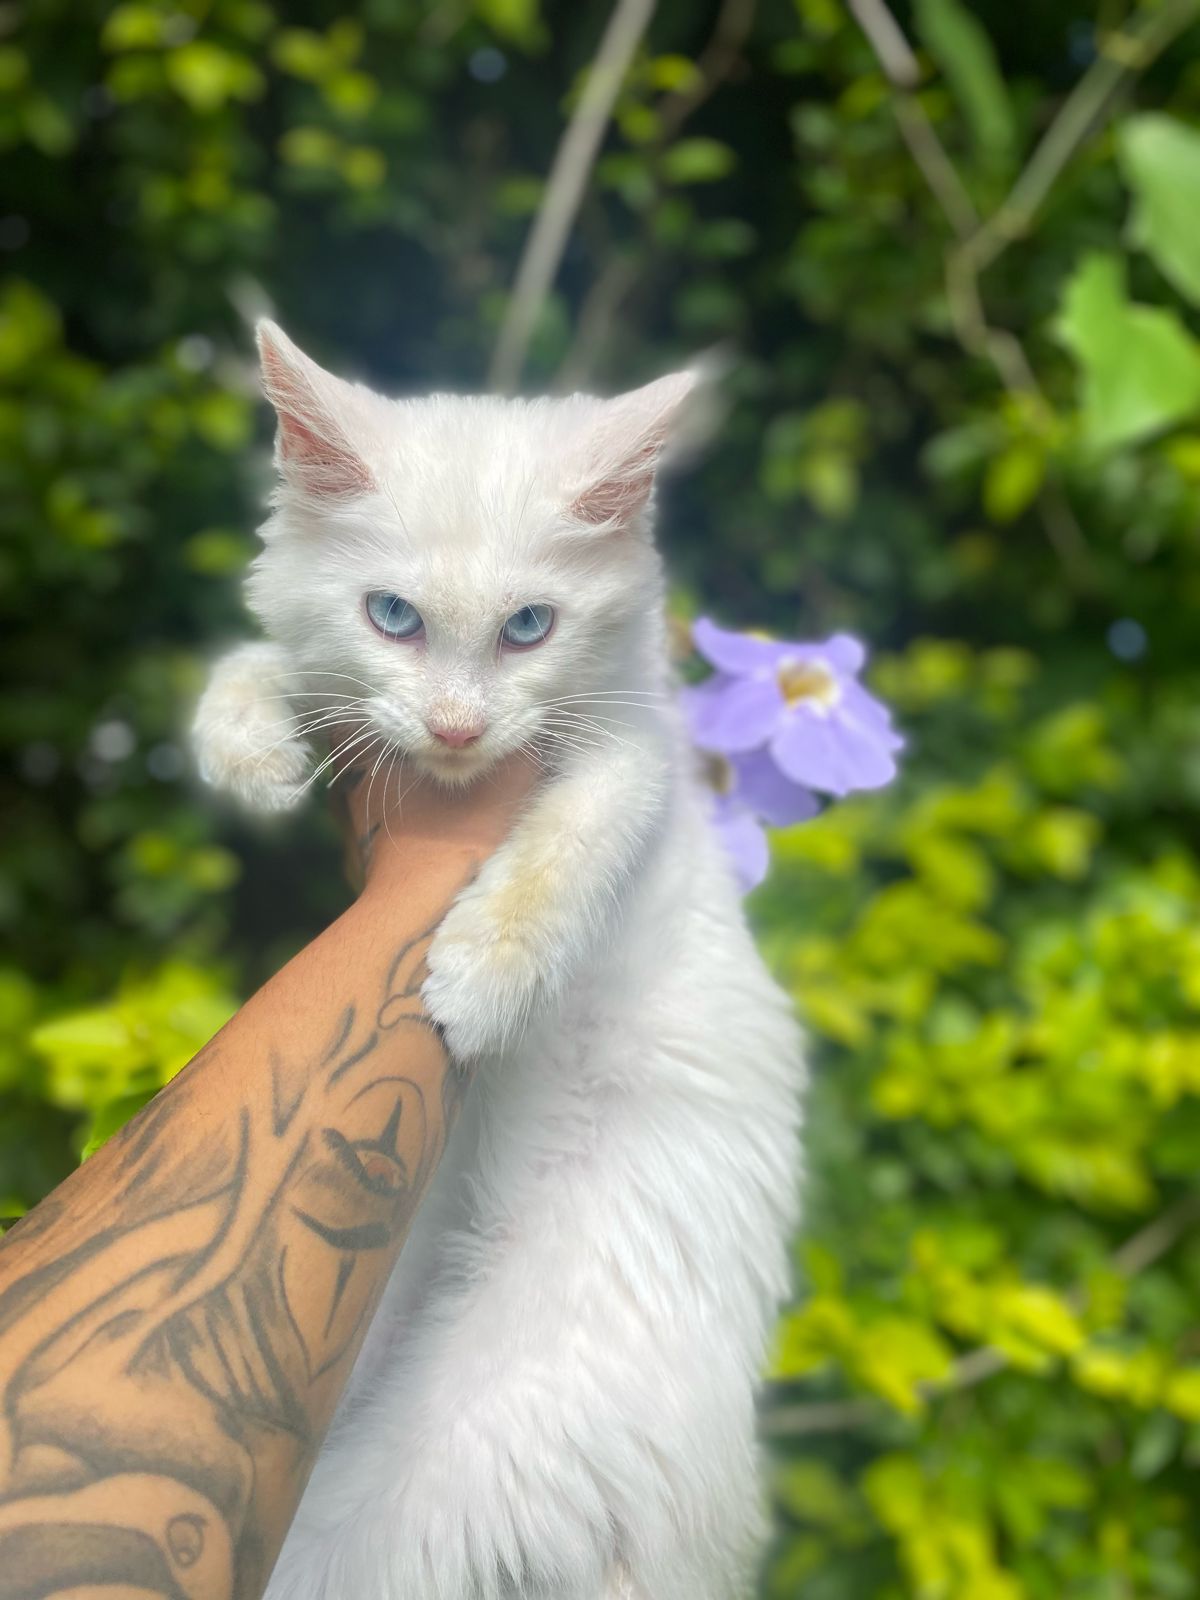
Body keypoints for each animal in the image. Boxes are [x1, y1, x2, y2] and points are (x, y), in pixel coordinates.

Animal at [192, 328, 803, 1600]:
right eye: (392, 616)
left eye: (530, 627)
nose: (460, 730)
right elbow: (251, 662)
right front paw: (251, 753)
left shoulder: (635, 762)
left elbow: (562, 855)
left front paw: (478, 980)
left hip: (424, 1482)